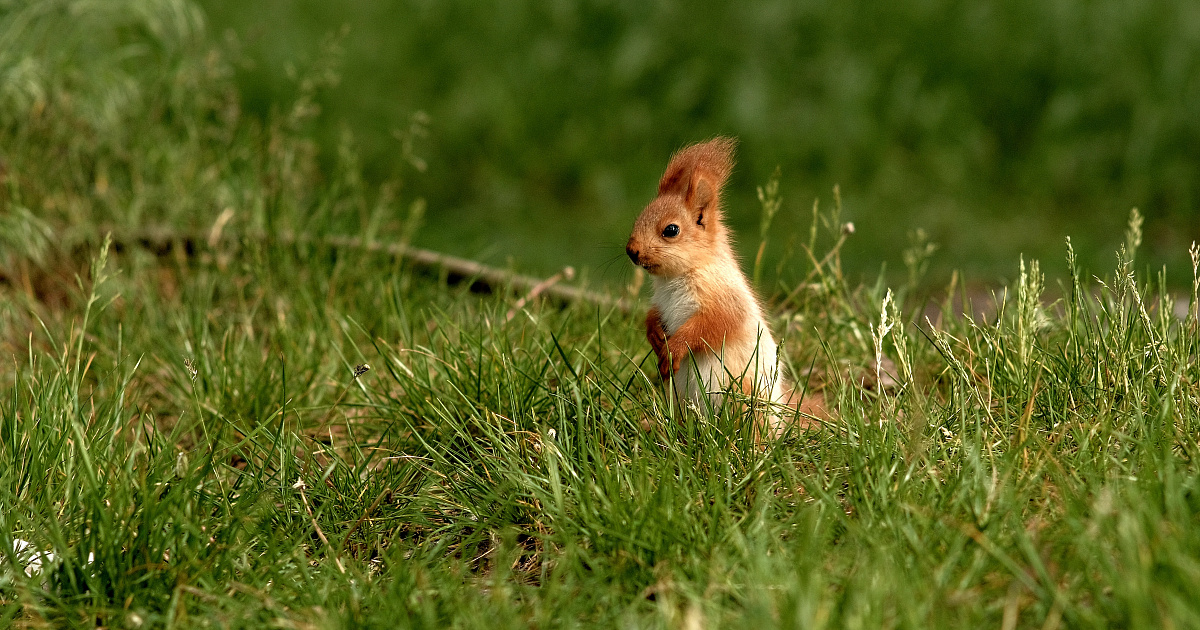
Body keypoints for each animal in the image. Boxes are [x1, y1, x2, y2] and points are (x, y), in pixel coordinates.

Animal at [628, 137, 806, 432]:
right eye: (639, 217)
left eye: (671, 230)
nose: (631, 251)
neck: (674, 278)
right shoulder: (661, 302)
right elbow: (654, 315)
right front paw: (653, 334)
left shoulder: (724, 298)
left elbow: (711, 325)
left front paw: (674, 349)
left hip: (744, 397)